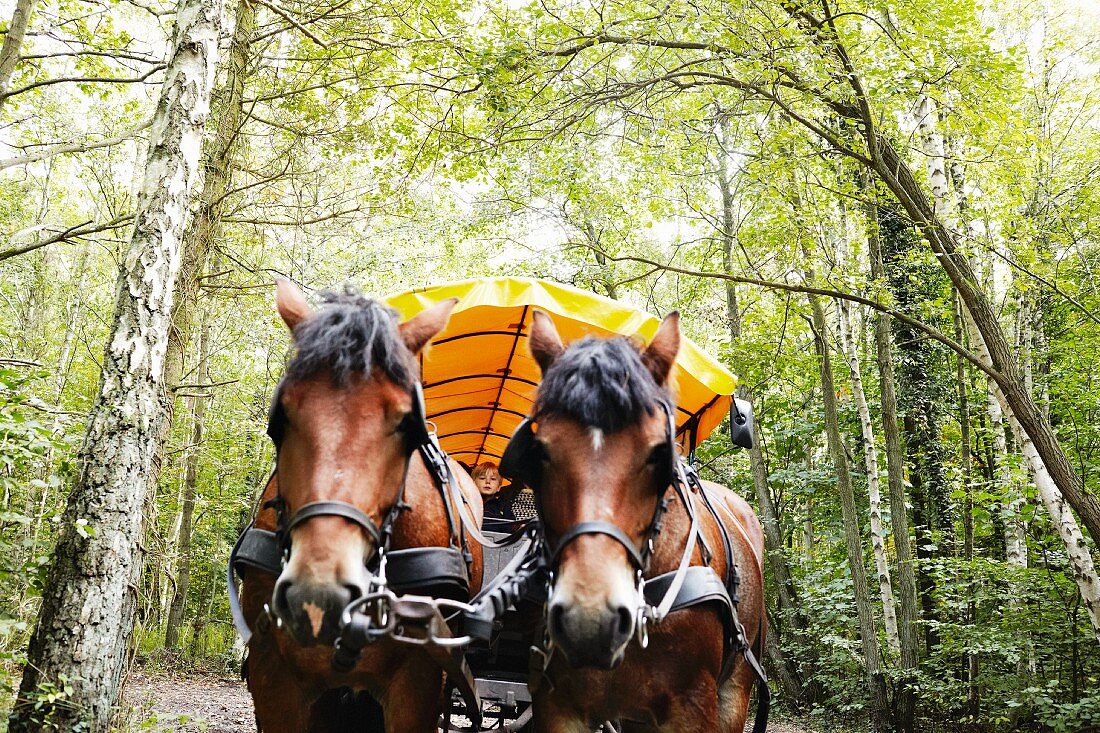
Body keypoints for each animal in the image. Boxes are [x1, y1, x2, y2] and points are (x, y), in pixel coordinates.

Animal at [517, 310, 765, 730]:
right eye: (540, 451)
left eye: (657, 453)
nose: (590, 620)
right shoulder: (557, 706)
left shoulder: (692, 707)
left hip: (736, 690)